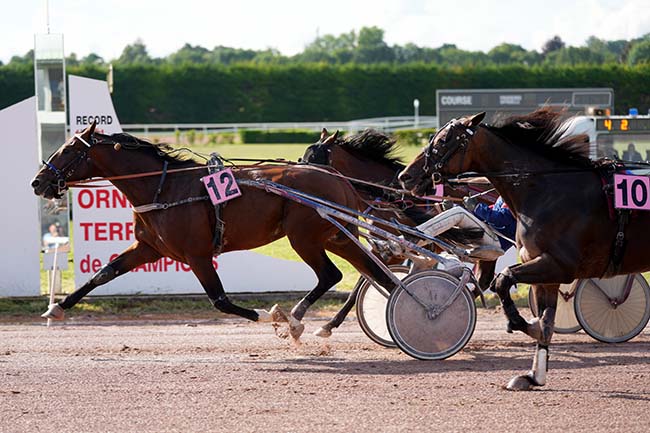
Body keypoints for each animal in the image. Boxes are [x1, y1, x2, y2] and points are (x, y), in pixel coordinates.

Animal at [31, 121, 394, 334]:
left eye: (68, 150)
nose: (38, 181)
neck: (163, 189)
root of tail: (339, 178)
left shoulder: (197, 254)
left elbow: (220, 300)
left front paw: (267, 315)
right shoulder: (148, 248)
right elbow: (103, 273)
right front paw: (56, 307)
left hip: (303, 237)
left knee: (331, 275)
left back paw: (294, 318)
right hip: (335, 237)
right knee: (375, 273)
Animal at [394, 107, 648, 388]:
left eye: (442, 141)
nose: (405, 176)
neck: (550, 191)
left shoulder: (558, 265)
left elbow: (503, 281)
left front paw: (519, 324)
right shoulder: (546, 270)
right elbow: (545, 322)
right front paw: (533, 376)